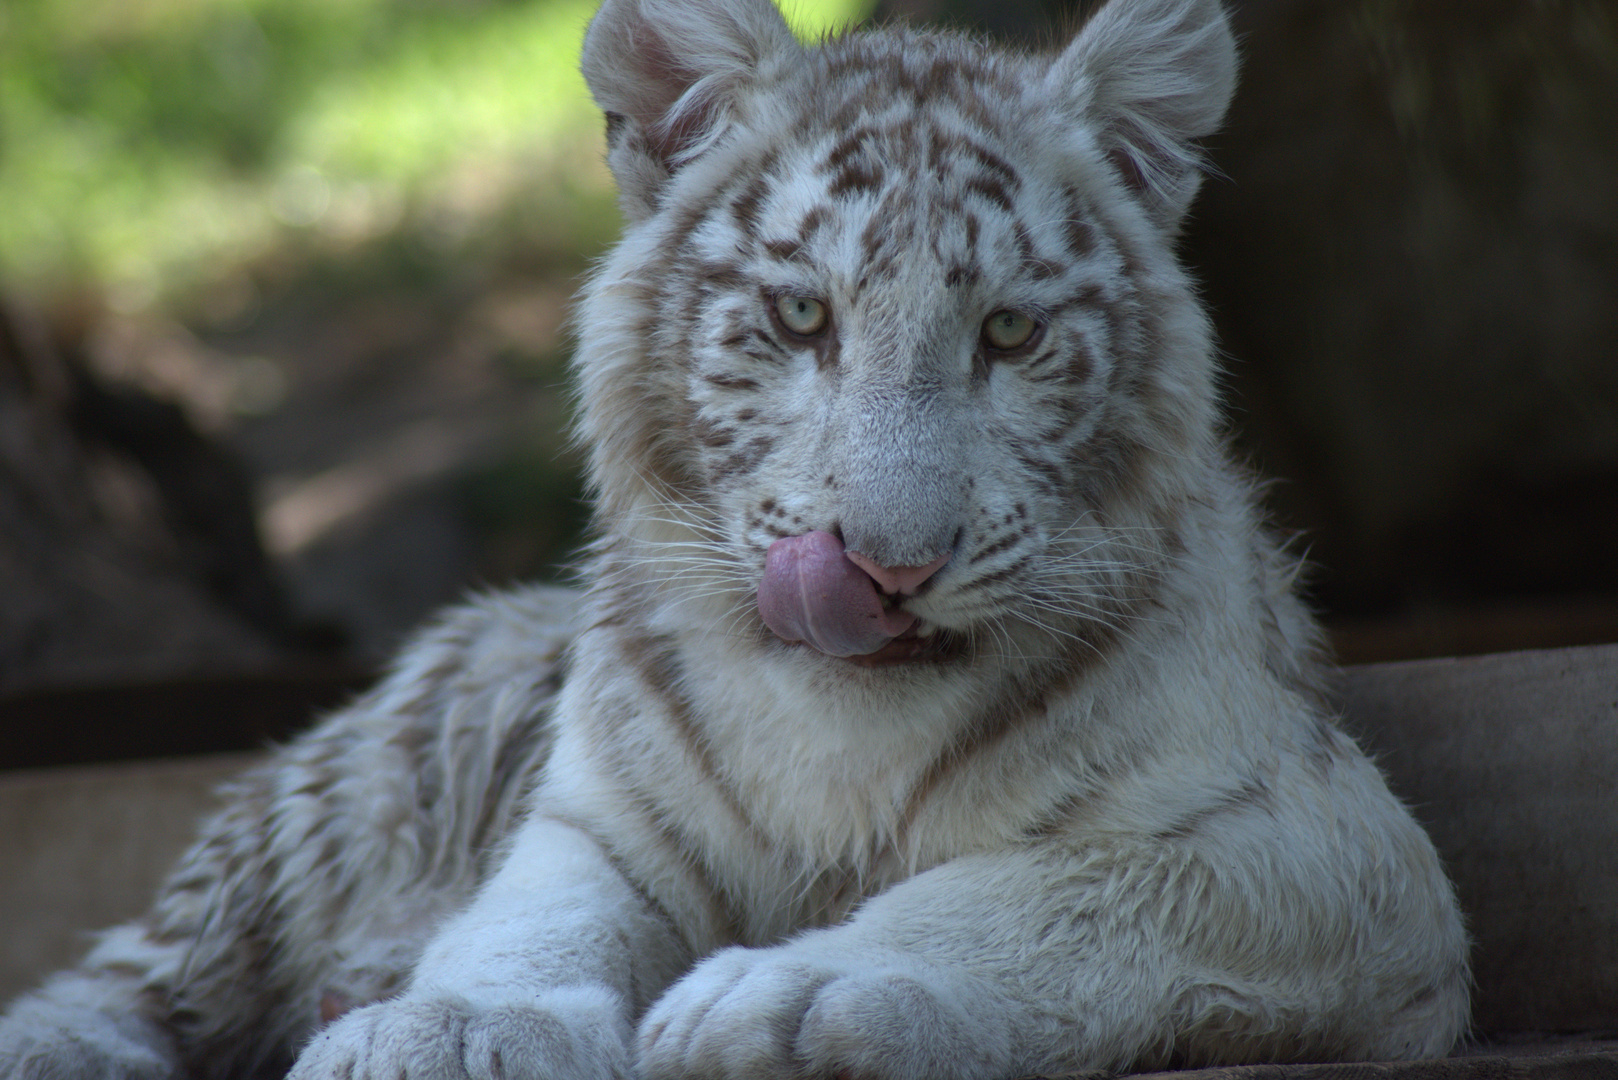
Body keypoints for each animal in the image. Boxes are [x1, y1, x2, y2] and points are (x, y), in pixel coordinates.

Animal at [0, 0, 1469, 1075]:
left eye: (1007, 332)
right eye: (801, 316)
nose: (888, 565)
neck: (842, 729)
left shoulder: (1320, 849)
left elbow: (1037, 895)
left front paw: (793, 999)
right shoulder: (597, 819)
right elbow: (534, 923)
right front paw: (447, 1025)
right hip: (355, 778)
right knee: (134, 975)